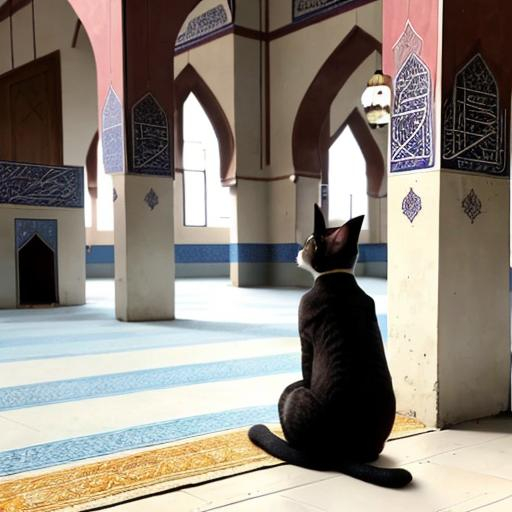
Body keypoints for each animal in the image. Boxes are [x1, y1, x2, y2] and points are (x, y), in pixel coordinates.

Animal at [248, 204, 412, 488]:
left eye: (308, 243)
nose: (297, 250)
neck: (337, 278)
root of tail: (339, 455)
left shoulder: (305, 337)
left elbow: (306, 367)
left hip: (295, 396)